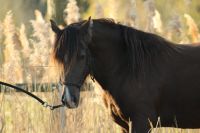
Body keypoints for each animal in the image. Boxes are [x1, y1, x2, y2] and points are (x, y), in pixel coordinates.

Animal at [50, 17, 200, 132]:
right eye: (58, 58)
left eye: (81, 56)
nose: (69, 99)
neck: (128, 70)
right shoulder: (124, 125)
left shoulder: (141, 123)